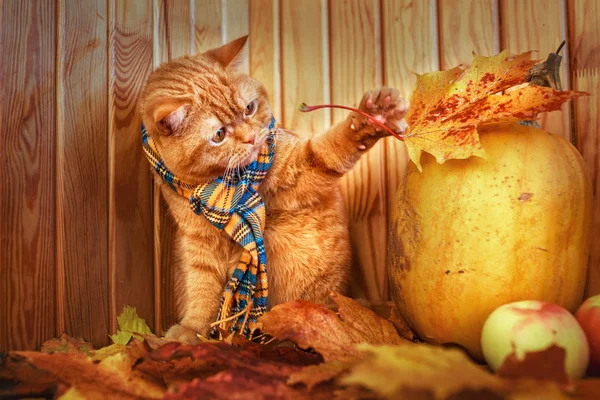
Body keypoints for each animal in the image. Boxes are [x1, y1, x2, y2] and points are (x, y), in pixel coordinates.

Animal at [141, 36, 408, 344]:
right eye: (219, 135)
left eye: (249, 109)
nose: (251, 137)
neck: (224, 190)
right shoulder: (196, 240)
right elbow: (201, 287)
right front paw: (193, 328)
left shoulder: (298, 168)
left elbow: (330, 149)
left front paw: (370, 120)